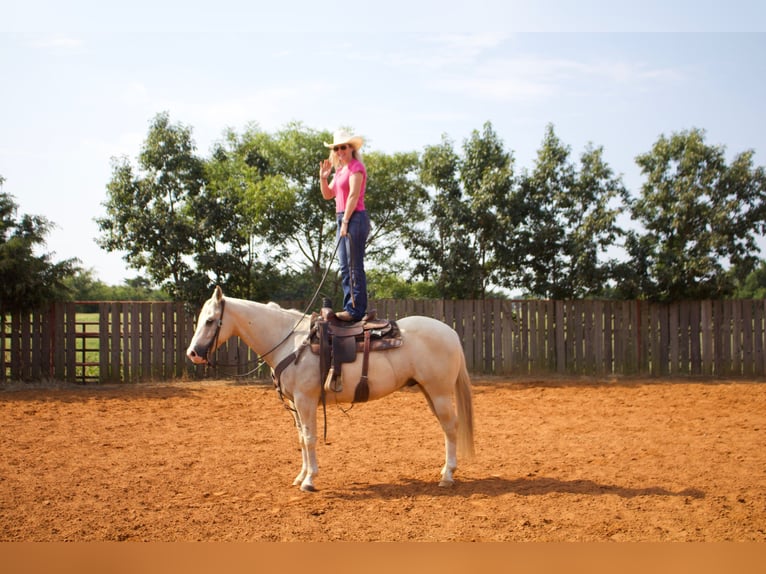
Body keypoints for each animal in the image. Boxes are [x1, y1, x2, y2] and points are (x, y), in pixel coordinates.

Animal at [186, 288, 474, 496]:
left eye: (210, 321)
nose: (193, 353)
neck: (289, 341)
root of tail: (450, 331)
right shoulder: (295, 406)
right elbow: (301, 439)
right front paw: (301, 476)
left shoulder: (306, 401)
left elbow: (310, 438)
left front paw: (310, 480)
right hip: (429, 392)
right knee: (446, 428)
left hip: (439, 392)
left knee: (451, 427)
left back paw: (447, 475)